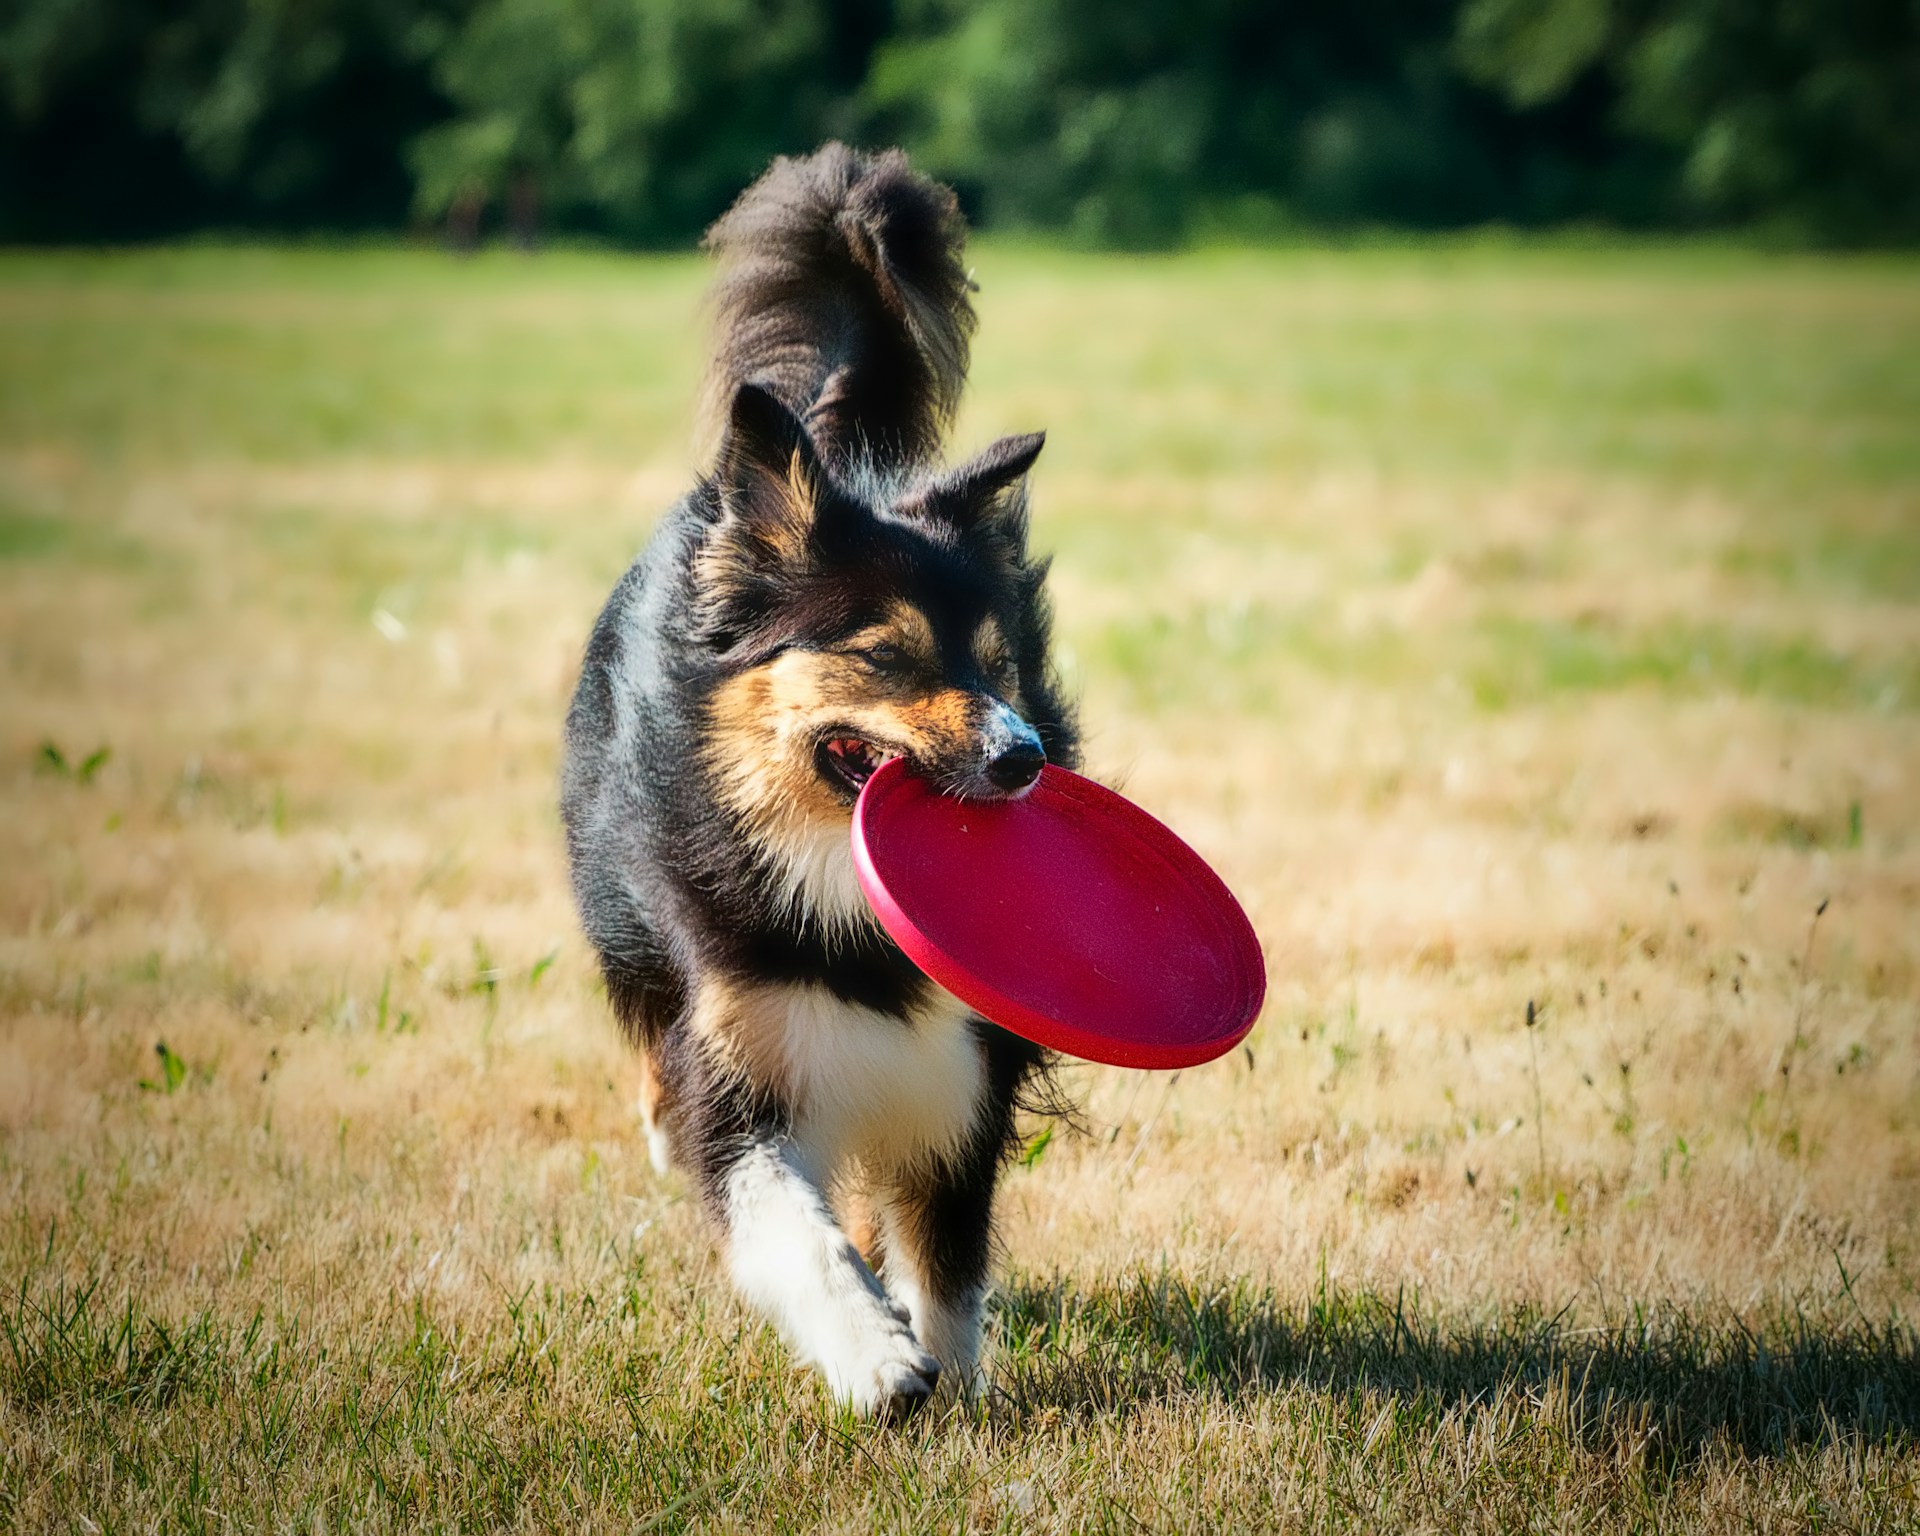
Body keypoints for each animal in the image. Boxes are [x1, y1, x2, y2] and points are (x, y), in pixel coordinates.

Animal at [560, 144, 1082, 1413]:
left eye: (999, 664)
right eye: (887, 655)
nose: (1023, 758)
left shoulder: (962, 1070)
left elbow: (945, 1254)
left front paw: (954, 1382)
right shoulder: (742, 1059)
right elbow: (791, 1232)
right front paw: (875, 1360)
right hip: (621, 912)